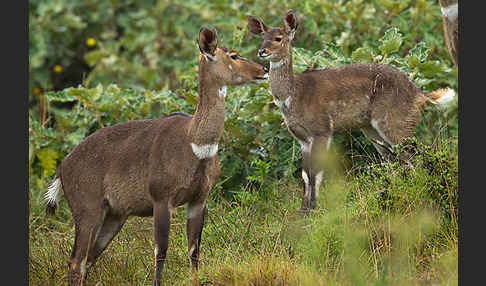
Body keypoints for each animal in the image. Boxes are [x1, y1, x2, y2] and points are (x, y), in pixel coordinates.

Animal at [43, 27, 268, 286]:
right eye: (234, 55)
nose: (264, 70)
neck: (195, 143)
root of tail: (62, 167)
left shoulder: (198, 199)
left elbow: (194, 249)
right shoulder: (161, 199)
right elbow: (161, 250)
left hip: (114, 215)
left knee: (87, 260)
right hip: (88, 209)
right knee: (75, 261)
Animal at [247, 10, 456, 213]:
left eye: (278, 38)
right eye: (262, 37)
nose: (262, 51)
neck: (294, 96)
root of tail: (420, 94)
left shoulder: (322, 129)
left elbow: (317, 172)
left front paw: (313, 211)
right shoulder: (302, 138)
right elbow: (305, 175)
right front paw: (303, 210)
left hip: (395, 122)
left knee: (417, 157)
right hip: (372, 130)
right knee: (398, 160)